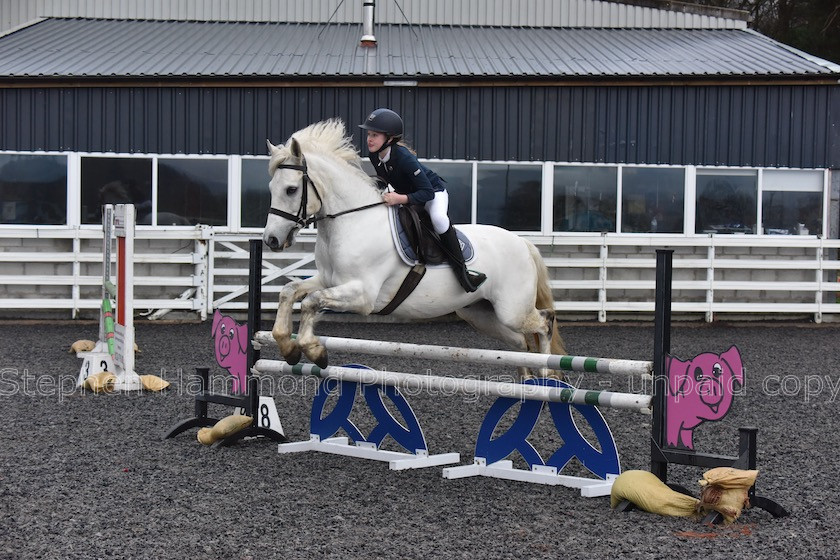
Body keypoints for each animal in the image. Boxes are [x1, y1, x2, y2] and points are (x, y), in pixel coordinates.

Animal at [262, 118, 564, 372]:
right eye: (271, 189)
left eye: (291, 189)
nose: (271, 240)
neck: (352, 221)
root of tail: (523, 243)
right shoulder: (328, 280)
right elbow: (289, 292)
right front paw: (288, 347)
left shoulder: (362, 295)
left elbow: (311, 302)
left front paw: (314, 351)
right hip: (481, 313)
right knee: (521, 344)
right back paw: (529, 381)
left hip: (511, 309)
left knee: (544, 321)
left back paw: (547, 374)